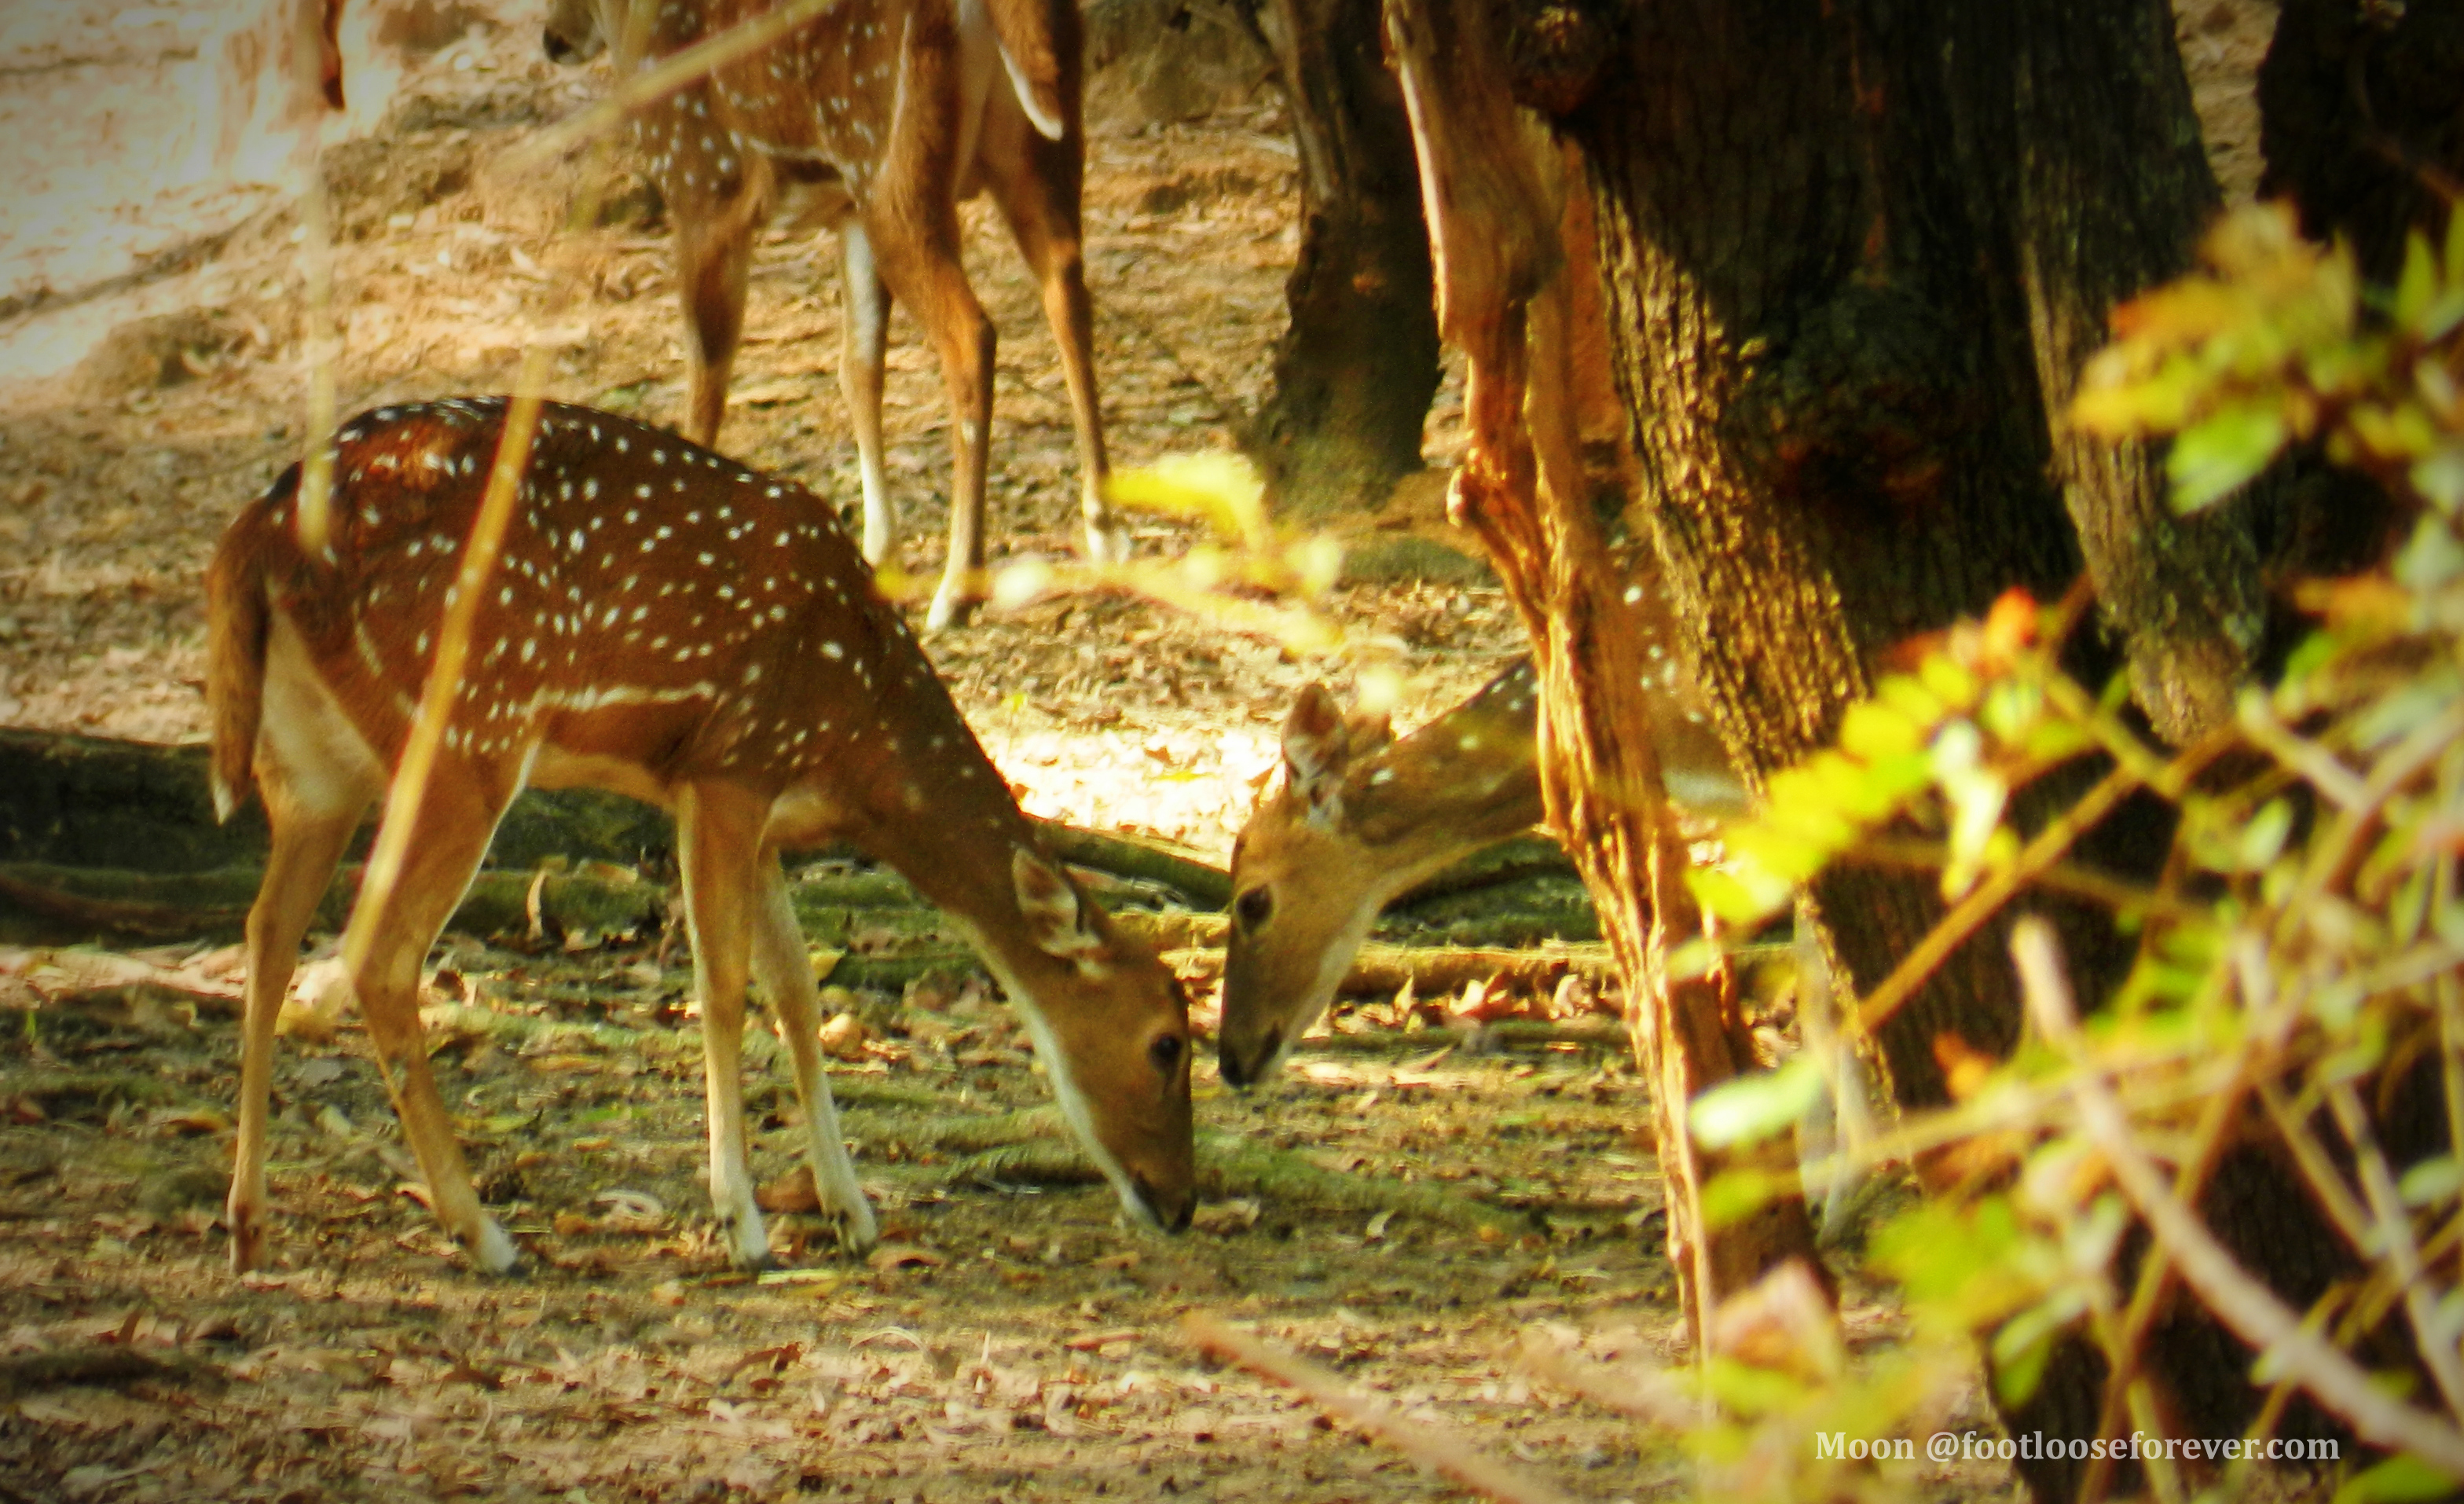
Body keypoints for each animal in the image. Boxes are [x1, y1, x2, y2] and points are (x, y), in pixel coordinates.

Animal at [206, 397, 1194, 1276]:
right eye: (1166, 1042)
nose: (1180, 1203)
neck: (858, 738)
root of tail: (256, 530)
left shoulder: (757, 805)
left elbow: (797, 988)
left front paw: (851, 1211)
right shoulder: (728, 765)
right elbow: (721, 986)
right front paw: (742, 1224)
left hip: (311, 768)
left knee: (266, 931)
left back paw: (250, 1228)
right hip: (464, 738)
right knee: (379, 954)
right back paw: (484, 1236)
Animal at [542, 0, 1122, 631]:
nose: (553, 41)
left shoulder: (704, 187)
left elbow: (707, 372)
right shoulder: (845, 213)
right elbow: (857, 367)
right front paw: (880, 556)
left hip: (893, 169)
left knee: (973, 334)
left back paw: (957, 591)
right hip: (1038, 151)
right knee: (1068, 291)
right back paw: (1106, 537)